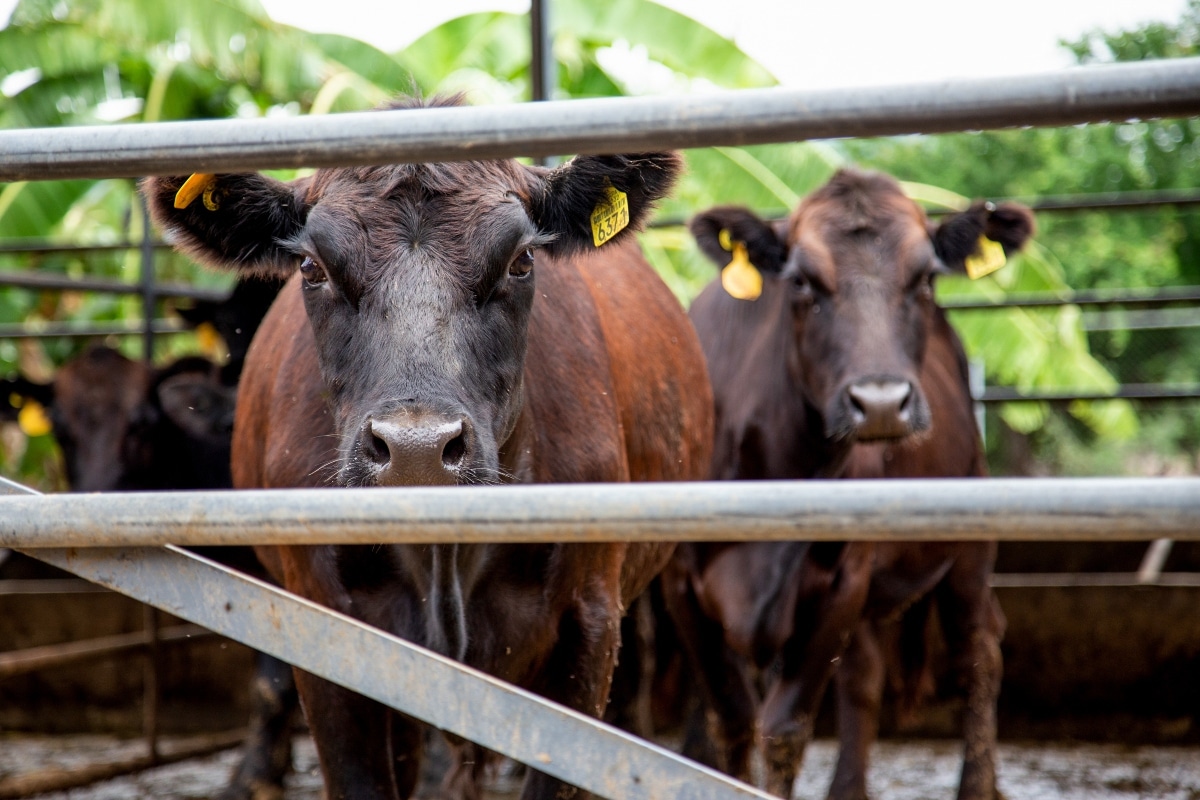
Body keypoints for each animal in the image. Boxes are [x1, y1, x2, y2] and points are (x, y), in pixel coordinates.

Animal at [662, 170, 1036, 800]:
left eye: (926, 277)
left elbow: (783, 729)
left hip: (966, 542)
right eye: (801, 281)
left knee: (981, 645)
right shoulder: (682, 586)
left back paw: (977, 785)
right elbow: (731, 720)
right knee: (866, 674)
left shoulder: (841, 583)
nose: (881, 402)